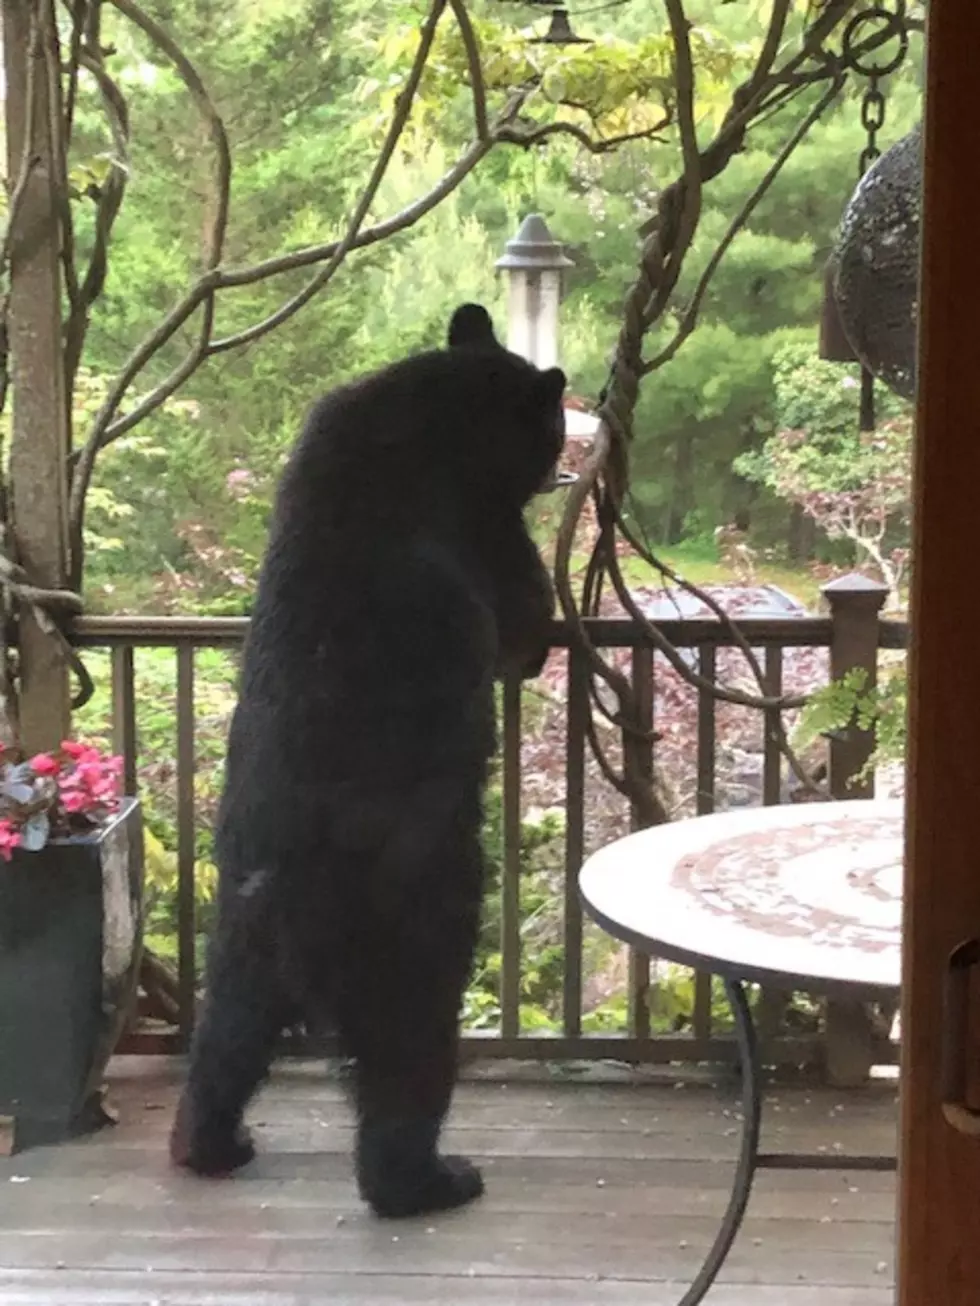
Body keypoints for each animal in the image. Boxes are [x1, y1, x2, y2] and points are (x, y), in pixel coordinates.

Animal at [169, 303, 566, 1219]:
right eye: (556, 424)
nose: (565, 455)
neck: (430, 422)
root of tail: (281, 900)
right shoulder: (480, 528)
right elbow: (524, 617)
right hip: (404, 929)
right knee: (408, 1056)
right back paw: (428, 1180)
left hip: (237, 947)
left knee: (224, 1042)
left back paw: (213, 1143)